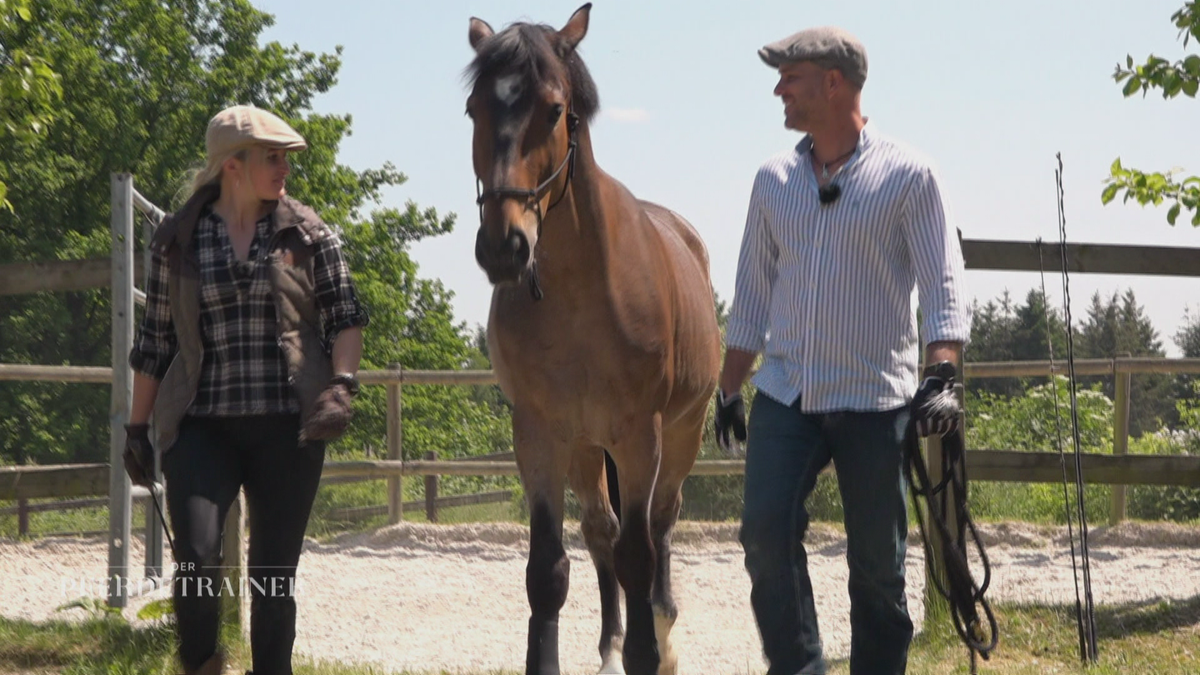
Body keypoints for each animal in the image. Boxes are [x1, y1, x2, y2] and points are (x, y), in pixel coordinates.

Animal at [463, 5, 715, 672]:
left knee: (659, 526)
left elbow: (639, 555)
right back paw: (610, 645)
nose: (504, 246)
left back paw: (663, 627)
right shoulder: (540, 435)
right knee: (602, 530)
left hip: (681, 435)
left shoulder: (640, 435)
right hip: (583, 447)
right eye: (474, 108)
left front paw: (651, 652)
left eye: (555, 110)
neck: (581, 297)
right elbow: (548, 570)